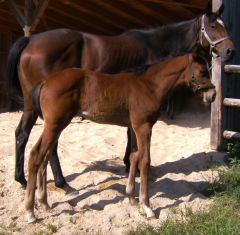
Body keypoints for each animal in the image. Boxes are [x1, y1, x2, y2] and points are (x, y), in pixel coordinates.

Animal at [7, 2, 234, 189]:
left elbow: (128, 132)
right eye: (213, 26)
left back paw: (23, 179)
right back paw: (60, 181)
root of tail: (30, 40)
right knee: (47, 143)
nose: (230, 51)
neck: (156, 45)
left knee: (22, 134)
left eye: (224, 24)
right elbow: (131, 135)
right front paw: (133, 166)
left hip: (33, 107)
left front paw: (128, 163)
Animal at [25, 52, 216, 223]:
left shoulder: (133, 128)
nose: (212, 95)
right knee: (36, 155)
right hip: (55, 125)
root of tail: (45, 81)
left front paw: (131, 198)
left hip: (57, 126)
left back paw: (44, 202)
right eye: (203, 71)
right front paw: (147, 207)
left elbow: (133, 157)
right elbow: (145, 161)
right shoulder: (144, 127)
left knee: (45, 156)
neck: (150, 86)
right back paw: (30, 212)